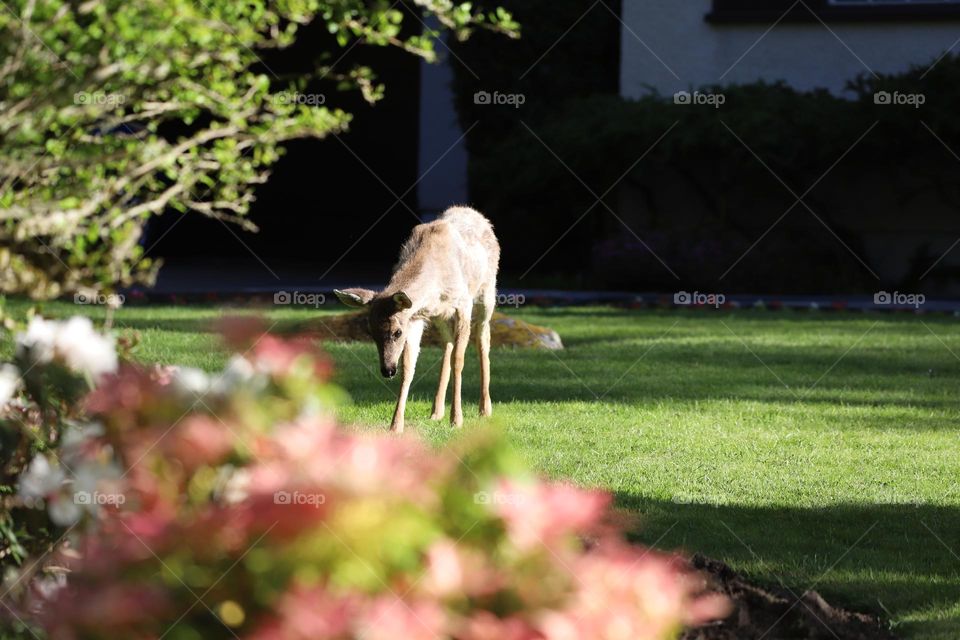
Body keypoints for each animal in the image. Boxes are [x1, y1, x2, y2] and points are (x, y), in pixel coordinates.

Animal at [336, 208, 502, 432]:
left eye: (397, 332)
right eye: (370, 332)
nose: (387, 370)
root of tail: (474, 212)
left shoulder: (463, 303)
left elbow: (459, 360)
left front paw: (457, 419)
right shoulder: (414, 317)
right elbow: (408, 367)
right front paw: (396, 425)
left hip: (487, 291)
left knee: (483, 338)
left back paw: (484, 409)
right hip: (440, 316)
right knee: (448, 344)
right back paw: (436, 411)